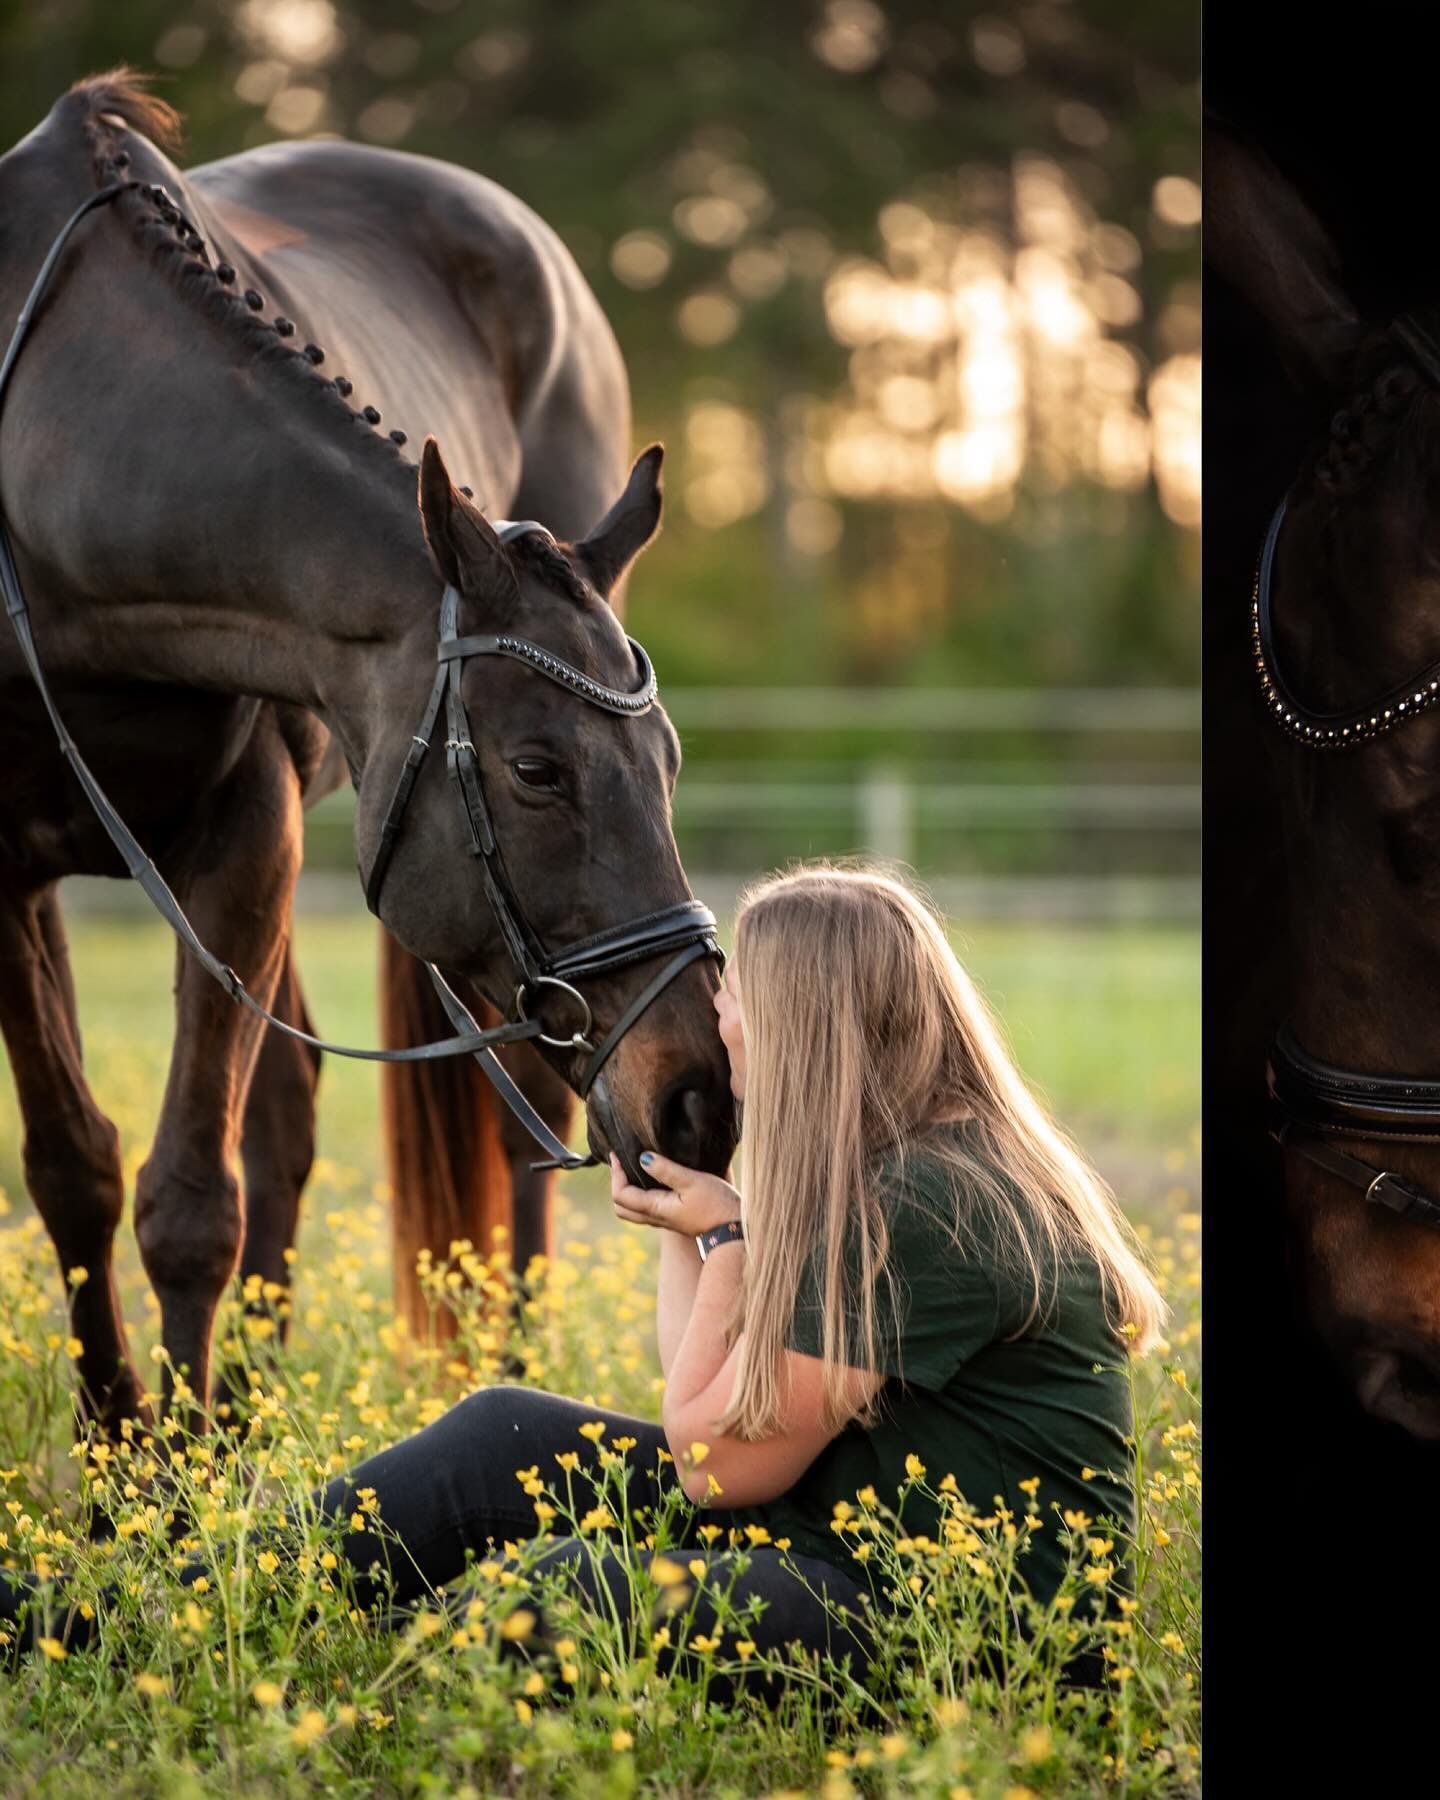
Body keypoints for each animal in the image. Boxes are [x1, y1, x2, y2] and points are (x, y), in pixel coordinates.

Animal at [0, 77, 738, 1432]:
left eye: (665, 760)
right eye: (538, 771)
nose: (703, 1095)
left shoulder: (247, 835)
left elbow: (192, 1193)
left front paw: (178, 1478)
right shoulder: (9, 866)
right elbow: (77, 1167)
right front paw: (128, 1445)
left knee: (502, 1122)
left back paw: (501, 1368)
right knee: (288, 1112)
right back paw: (247, 1398)